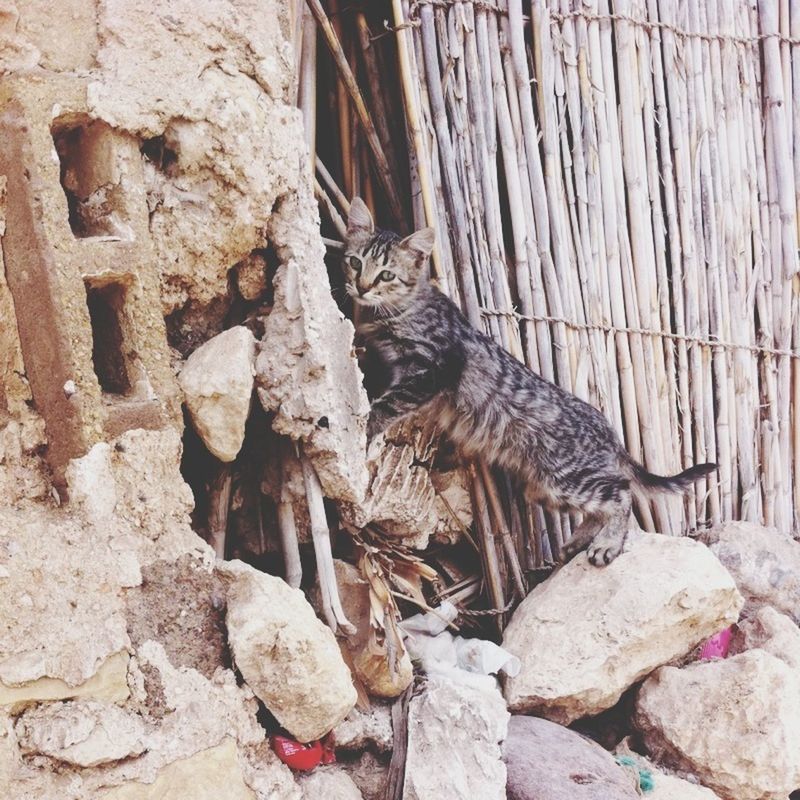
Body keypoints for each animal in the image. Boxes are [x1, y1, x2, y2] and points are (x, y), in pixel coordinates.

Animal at [340, 197, 716, 564]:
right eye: (355, 263)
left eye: (386, 274)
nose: (362, 287)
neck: (402, 308)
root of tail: (611, 434)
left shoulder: (434, 370)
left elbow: (390, 403)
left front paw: (367, 424)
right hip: (544, 489)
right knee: (598, 506)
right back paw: (576, 542)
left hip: (565, 478)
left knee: (620, 494)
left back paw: (606, 544)